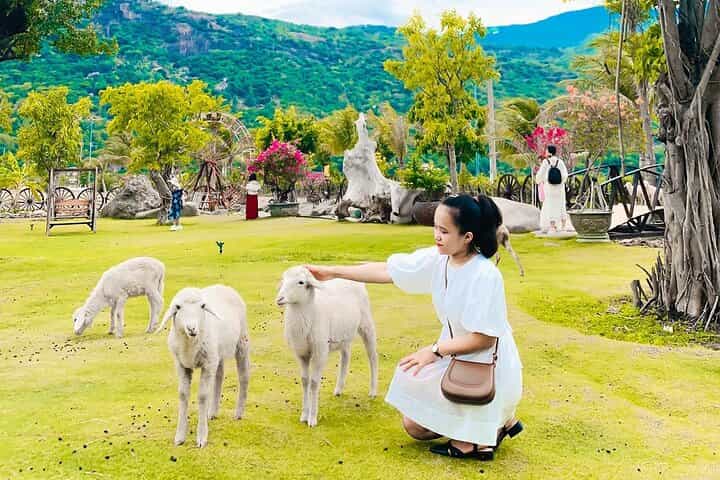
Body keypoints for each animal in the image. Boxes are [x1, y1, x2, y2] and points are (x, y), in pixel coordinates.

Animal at [156, 285, 250, 448]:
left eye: (202, 306)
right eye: (178, 307)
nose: (192, 328)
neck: (190, 346)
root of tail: (223, 286)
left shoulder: (207, 364)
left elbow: (203, 396)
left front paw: (201, 436)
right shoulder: (181, 365)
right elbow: (183, 394)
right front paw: (180, 436)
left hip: (241, 342)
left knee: (243, 376)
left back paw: (238, 413)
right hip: (217, 353)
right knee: (219, 376)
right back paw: (212, 412)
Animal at [276, 266, 378, 427]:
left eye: (301, 282)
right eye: (283, 279)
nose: (279, 299)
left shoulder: (320, 352)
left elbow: (314, 383)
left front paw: (312, 418)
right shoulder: (301, 353)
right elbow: (304, 381)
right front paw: (304, 415)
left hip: (366, 324)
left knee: (372, 356)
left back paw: (373, 391)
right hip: (344, 334)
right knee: (345, 357)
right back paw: (339, 389)